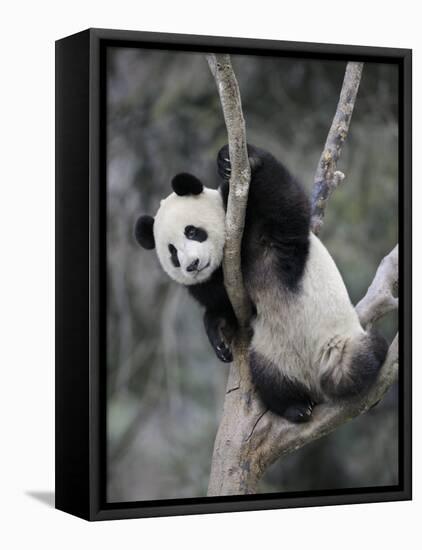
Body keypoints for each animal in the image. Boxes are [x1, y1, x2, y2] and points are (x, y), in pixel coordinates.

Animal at [134, 144, 386, 424]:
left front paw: (234, 160)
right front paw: (219, 336)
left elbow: (285, 203)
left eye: (191, 231)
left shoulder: (268, 235)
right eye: (173, 253)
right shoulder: (219, 285)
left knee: (362, 359)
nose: (193, 265)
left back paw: (375, 356)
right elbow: (221, 307)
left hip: (339, 341)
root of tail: (317, 384)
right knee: (270, 380)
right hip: (272, 355)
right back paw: (296, 407)